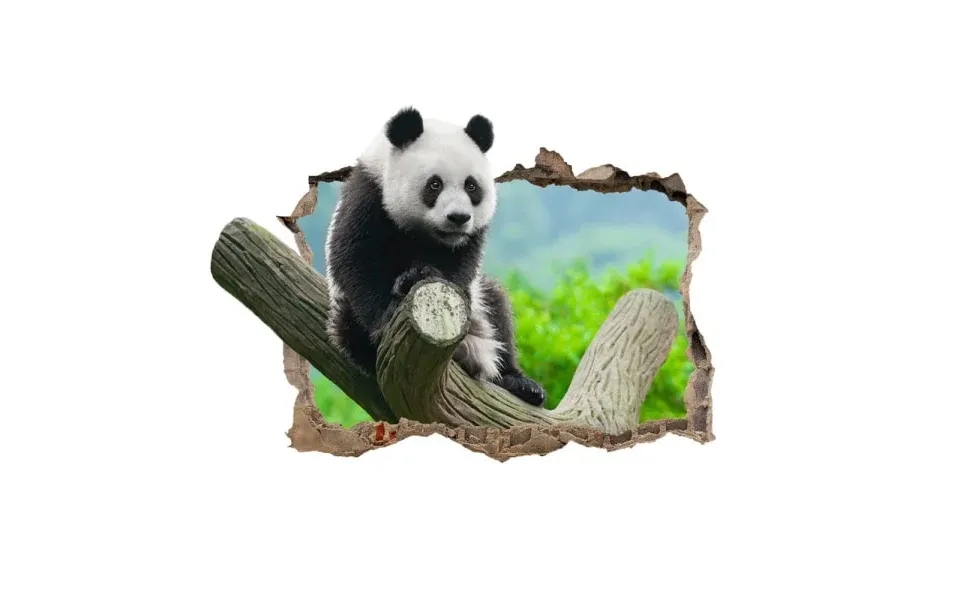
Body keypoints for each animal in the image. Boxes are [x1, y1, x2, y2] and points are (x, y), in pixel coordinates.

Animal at [324, 106, 546, 407]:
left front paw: (421, 274)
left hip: (480, 308)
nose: (458, 218)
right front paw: (390, 309)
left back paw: (520, 384)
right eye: (435, 184)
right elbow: (355, 258)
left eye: (471, 186)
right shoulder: (368, 195)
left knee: (498, 307)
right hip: (345, 315)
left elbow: (461, 265)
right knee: (348, 327)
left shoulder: (469, 239)